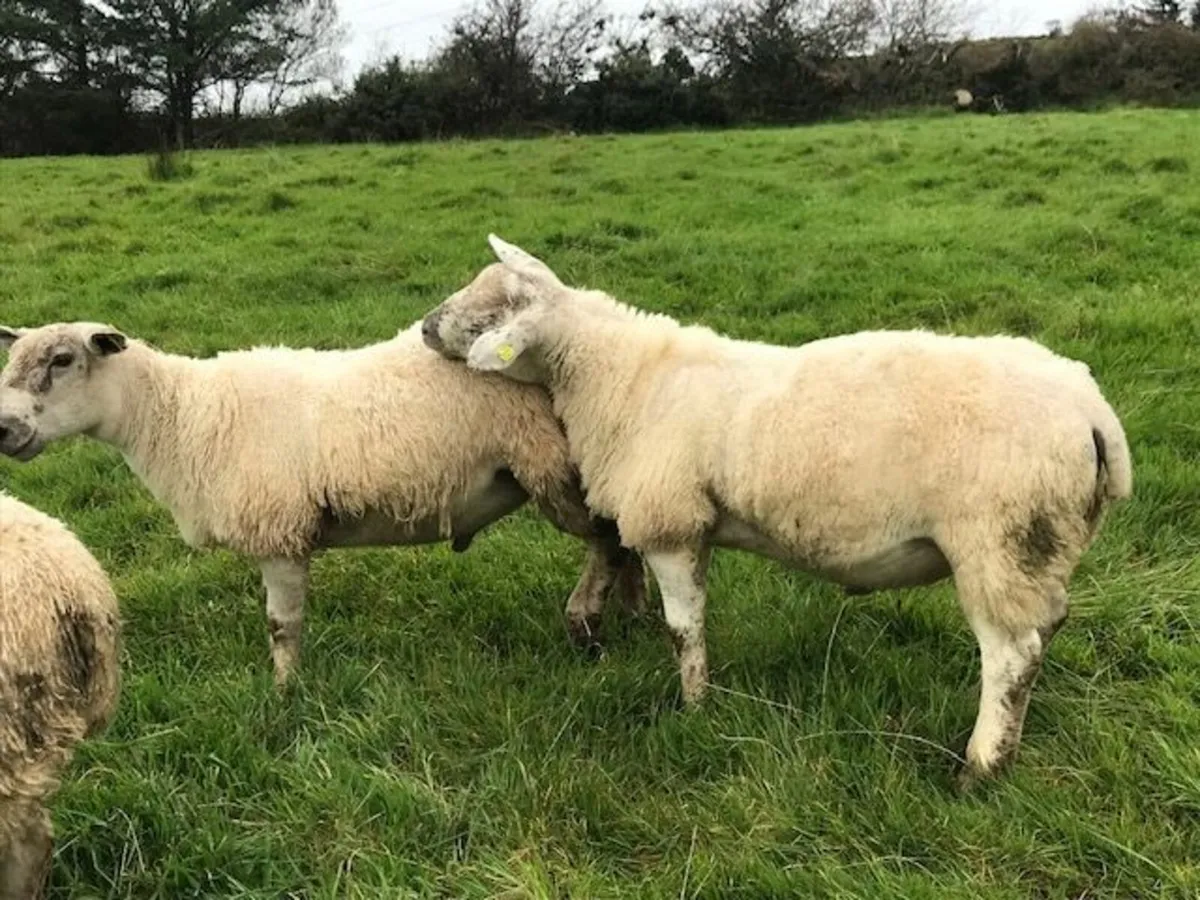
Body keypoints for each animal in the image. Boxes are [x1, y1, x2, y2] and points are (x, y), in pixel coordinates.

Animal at [0, 322, 644, 687]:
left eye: (62, 361)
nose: (4, 428)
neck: (182, 416)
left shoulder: (281, 533)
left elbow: (282, 627)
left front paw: (285, 694)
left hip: (553, 467)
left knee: (609, 540)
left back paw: (586, 623)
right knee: (622, 538)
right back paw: (631, 618)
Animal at [420, 235, 1133, 782]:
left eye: (497, 307)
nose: (425, 327)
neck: (616, 375)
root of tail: (1094, 412)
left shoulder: (672, 522)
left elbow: (684, 630)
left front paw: (696, 707)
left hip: (1000, 540)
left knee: (1010, 656)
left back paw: (982, 765)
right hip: (1044, 545)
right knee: (1045, 630)